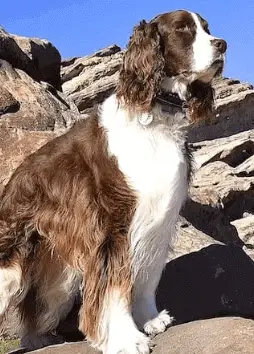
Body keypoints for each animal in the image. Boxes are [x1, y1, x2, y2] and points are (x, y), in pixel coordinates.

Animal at [0, 8, 226, 354]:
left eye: (206, 28)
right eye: (183, 30)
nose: (223, 45)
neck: (154, 117)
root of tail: (14, 181)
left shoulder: (158, 220)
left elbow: (146, 278)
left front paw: (150, 320)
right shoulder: (111, 229)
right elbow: (113, 289)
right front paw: (125, 338)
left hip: (59, 274)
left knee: (39, 308)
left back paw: (42, 338)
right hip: (11, 263)